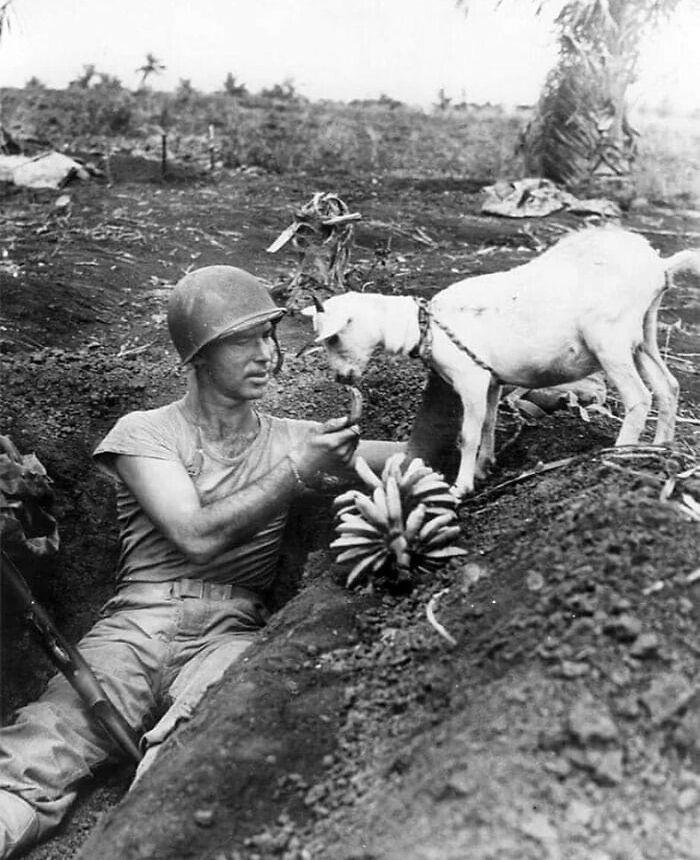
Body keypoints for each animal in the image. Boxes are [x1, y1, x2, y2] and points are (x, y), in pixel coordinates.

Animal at [300, 227, 700, 498]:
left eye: (333, 337)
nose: (341, 378)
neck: (426, 325)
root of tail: (659, 265)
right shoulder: (491, 381)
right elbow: (489, 425)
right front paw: (483, 468)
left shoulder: (472, 379)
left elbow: (468, 434)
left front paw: (461, 486)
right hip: (642, 334)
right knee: (668, 386)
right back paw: (658, 450)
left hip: (610, 338)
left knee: (639, 397)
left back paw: (620, 454)